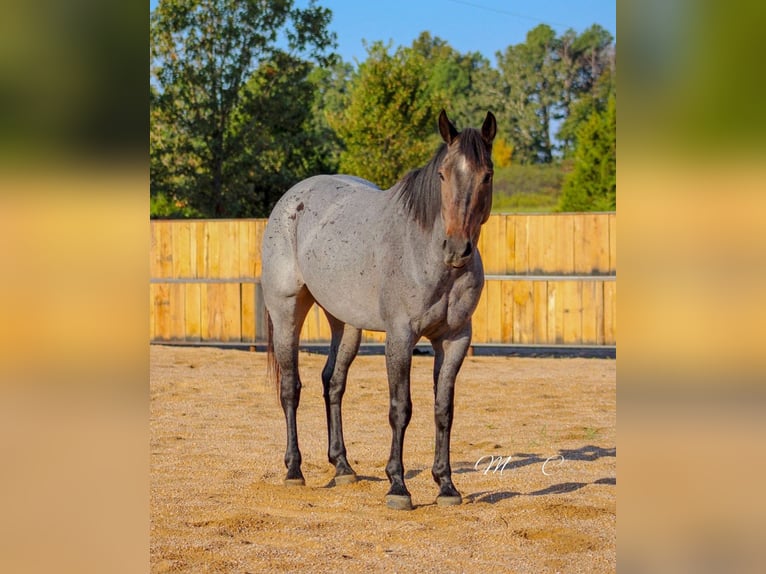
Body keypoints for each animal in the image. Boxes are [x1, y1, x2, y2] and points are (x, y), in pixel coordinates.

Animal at [261, 110, 496, 510]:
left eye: (487, 175)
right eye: (442, 174)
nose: (457, 248)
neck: (425, 253)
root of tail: (292, 199)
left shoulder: (455, 340)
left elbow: (443, 409)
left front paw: (446, 485)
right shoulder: (400, 337)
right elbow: (400, 409)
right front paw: (398, 485)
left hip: (345, 324)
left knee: (333, 383)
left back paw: (342, 466)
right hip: (287, 311)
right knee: (291, 387)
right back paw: (294, 470)